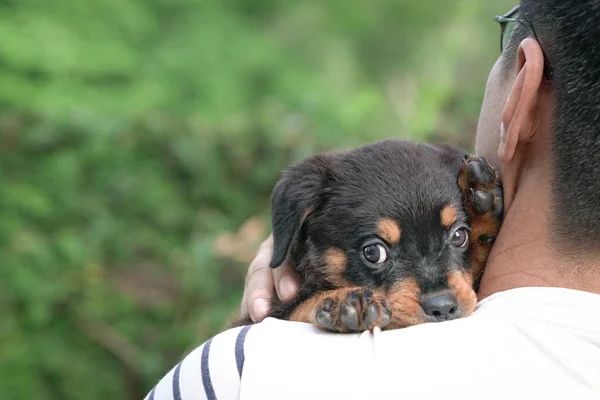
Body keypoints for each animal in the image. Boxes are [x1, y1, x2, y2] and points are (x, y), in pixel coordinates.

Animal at [234, 138, 502, 332]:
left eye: (458, 236)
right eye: (373, 252)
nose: (443, 307)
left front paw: (481, 200)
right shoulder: (266, 313)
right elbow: (295, 309)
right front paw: (343, 301)